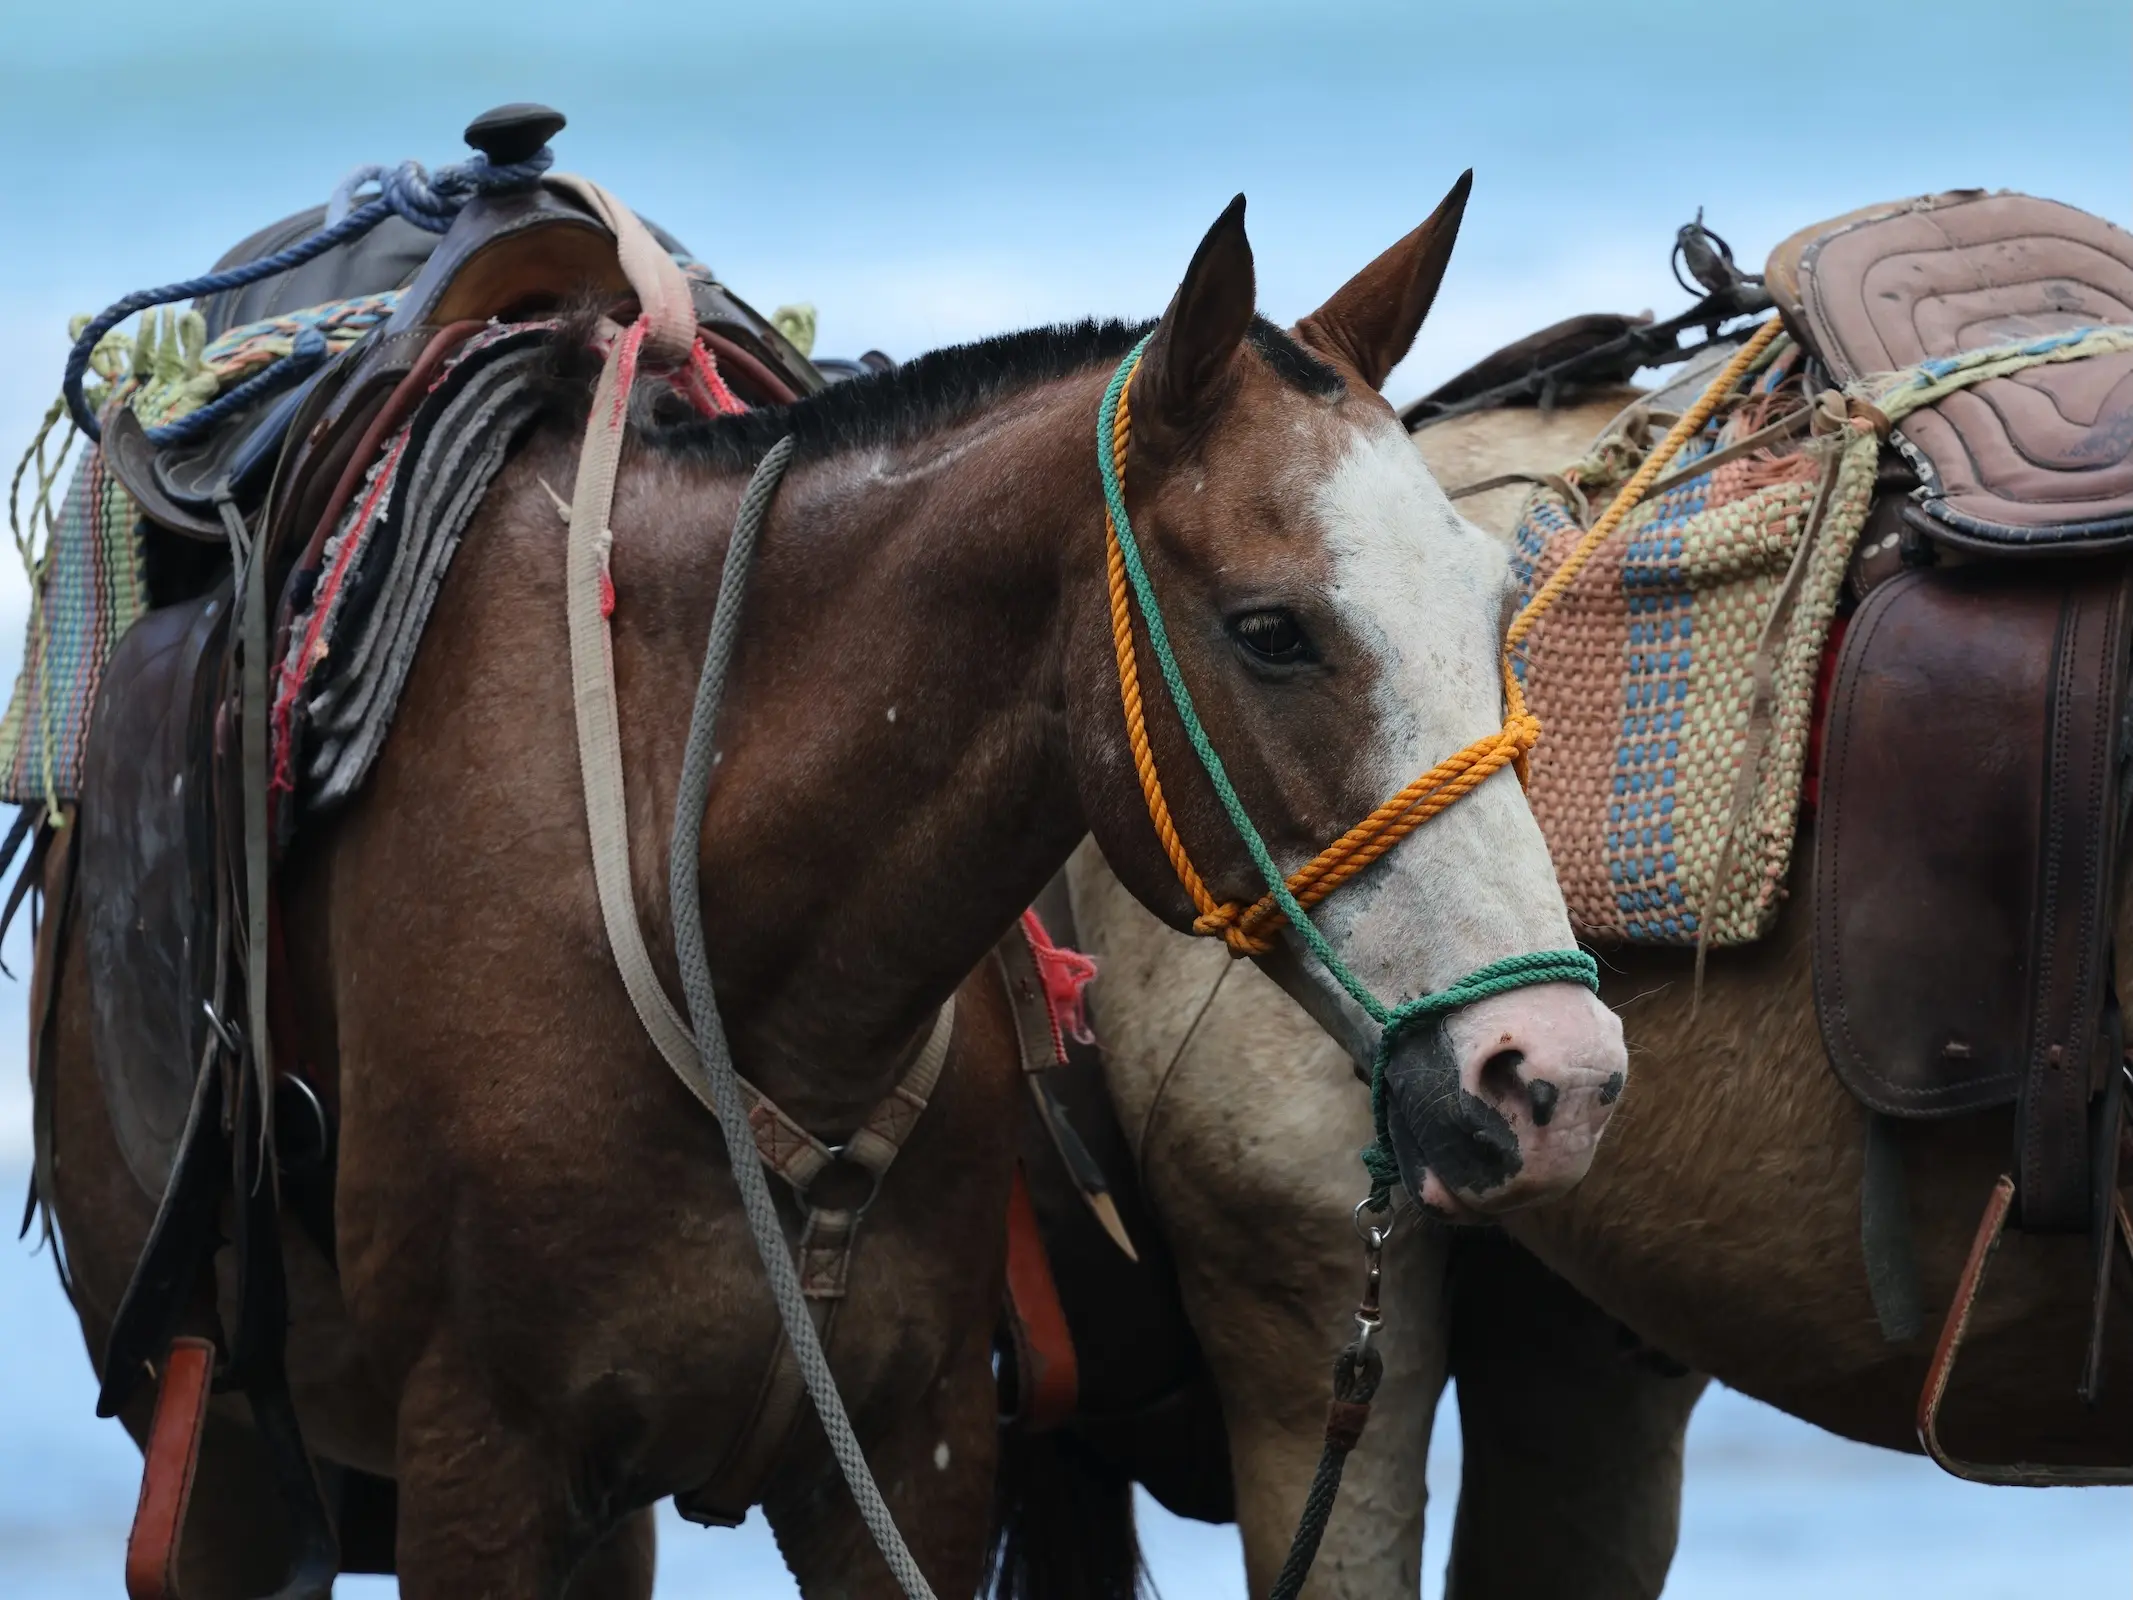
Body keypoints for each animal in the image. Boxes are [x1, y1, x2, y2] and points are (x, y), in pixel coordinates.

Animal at [31, 174, 1626, 1598]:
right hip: (230, 1466)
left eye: (1493, 603)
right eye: (1271, 629)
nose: (1556, 1075)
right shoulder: (479, 1467)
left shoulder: (909, 1460)